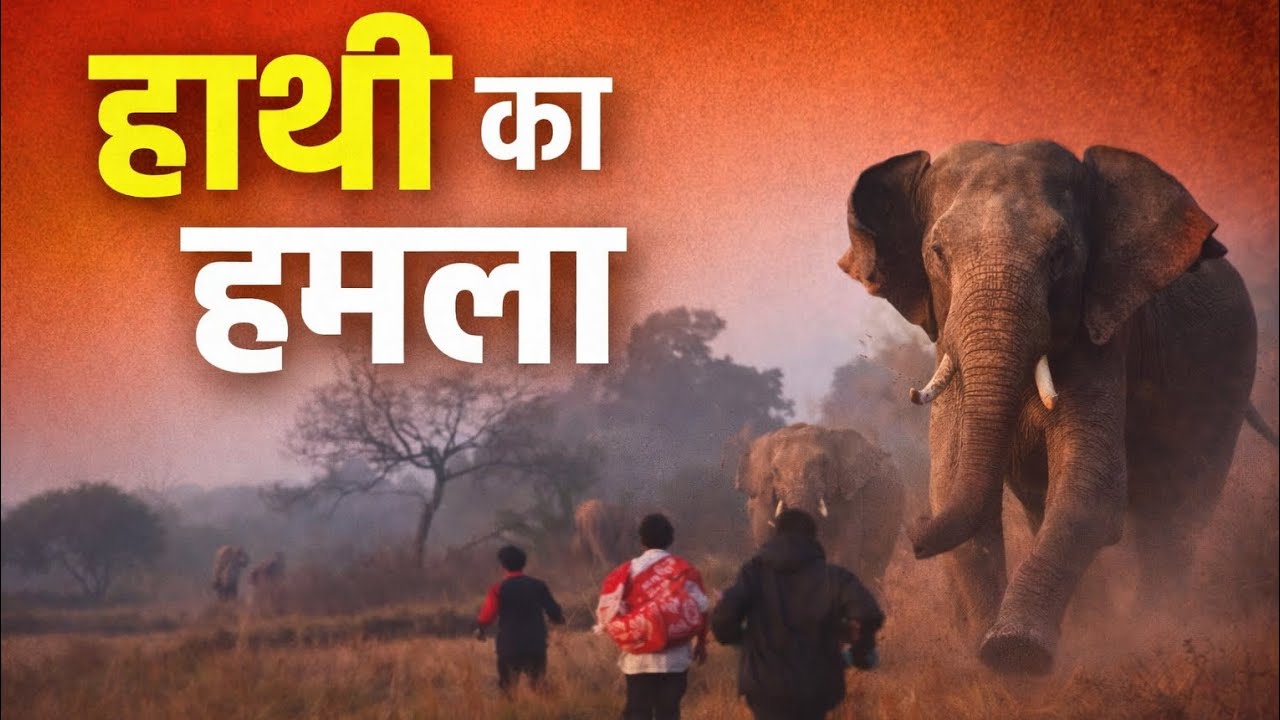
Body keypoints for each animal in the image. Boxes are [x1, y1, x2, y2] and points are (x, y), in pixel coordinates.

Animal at [733, 423, 904, 593]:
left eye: (824, 463)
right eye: (775, 470)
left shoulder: (848, 497)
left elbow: (844, 547)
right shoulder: (764, 499)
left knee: (875, 564)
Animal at [837, 140, 1278, 674]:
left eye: (1061, 254)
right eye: (938, 254)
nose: (915, 536)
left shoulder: (1104, 338)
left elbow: (1090, 490)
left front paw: (1014, 652)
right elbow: (954, 482)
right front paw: (988, 658)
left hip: (1228, 374)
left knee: (1179, 509)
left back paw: (1158, 630)